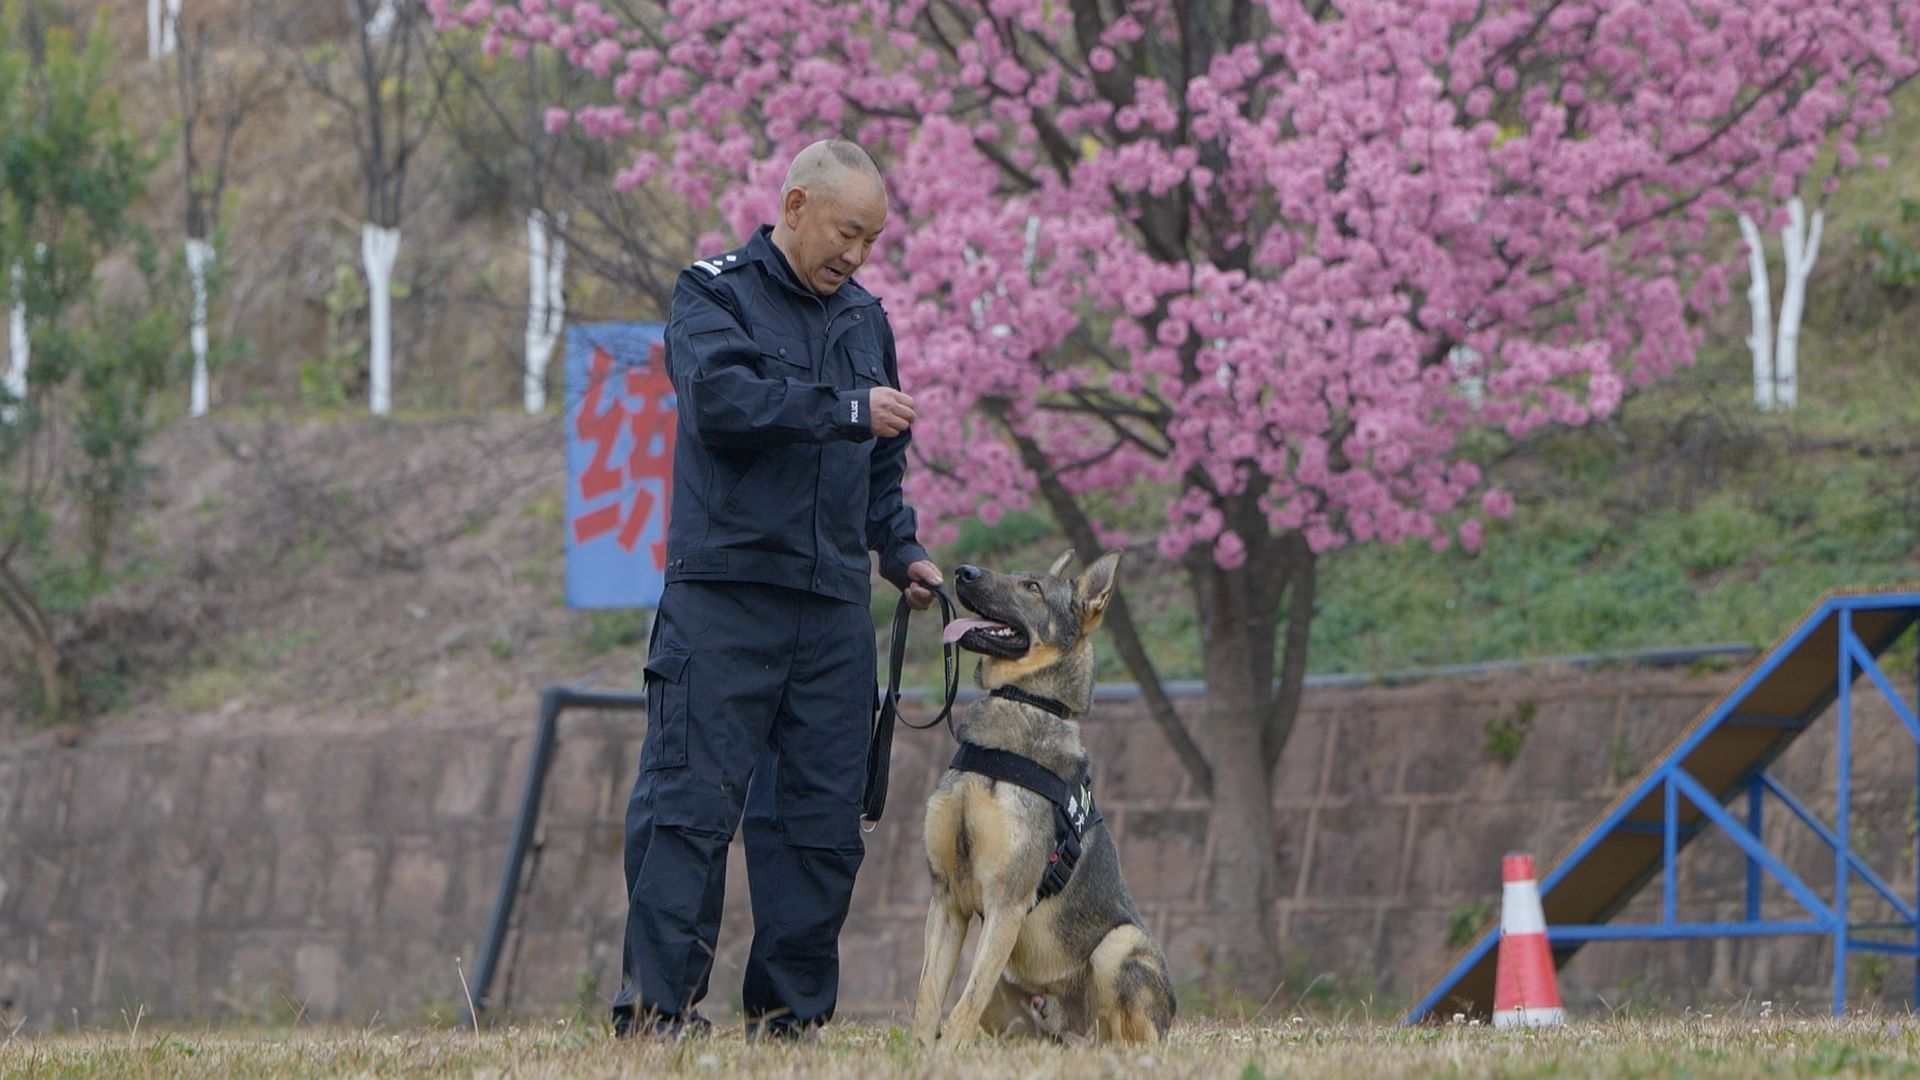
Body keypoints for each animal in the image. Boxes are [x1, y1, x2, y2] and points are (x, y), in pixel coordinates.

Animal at [910, 549, 1175, 1037]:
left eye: (1032, 588)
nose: (962, 572)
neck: (1020, 701)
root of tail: (1071, 1029)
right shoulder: (947, 898)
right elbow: (929, 997)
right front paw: (919, 1051)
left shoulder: (1007, 903)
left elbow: (963, 1005)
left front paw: (945, 1049)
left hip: (1118, 945)